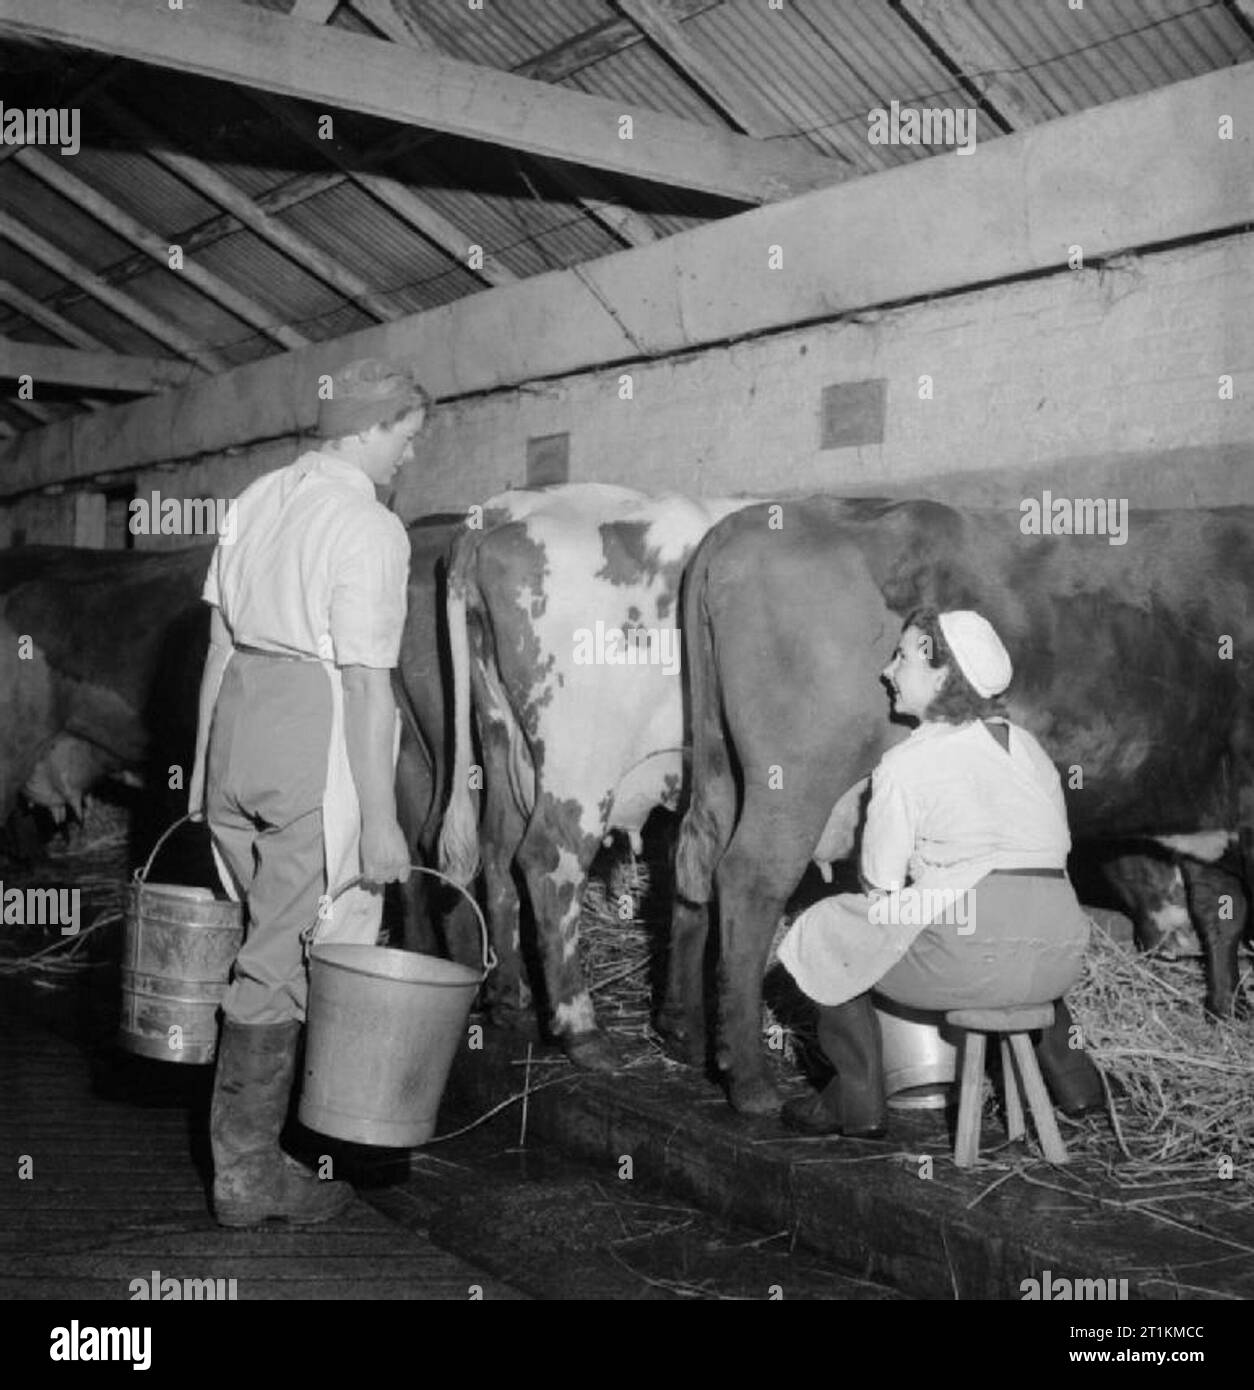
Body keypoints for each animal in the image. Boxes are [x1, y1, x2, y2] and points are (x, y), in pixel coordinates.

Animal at [436, 483, 761, 1067]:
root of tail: (504, 510)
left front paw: (681, 1026)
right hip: (579, 765)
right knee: (549, 860)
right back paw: (581, 1030)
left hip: (502, 740)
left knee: (496, 851)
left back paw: (510, 998)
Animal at [661, 500, 1251, 1117]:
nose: (1173, 943)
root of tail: (746, 520)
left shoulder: (1216, 818)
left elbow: (1220, 914)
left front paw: (1224, 1012)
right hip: (795, 784)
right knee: (749, 880)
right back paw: (749, 1080)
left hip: (720, 763)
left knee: (694, 855)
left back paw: (685, 1033)